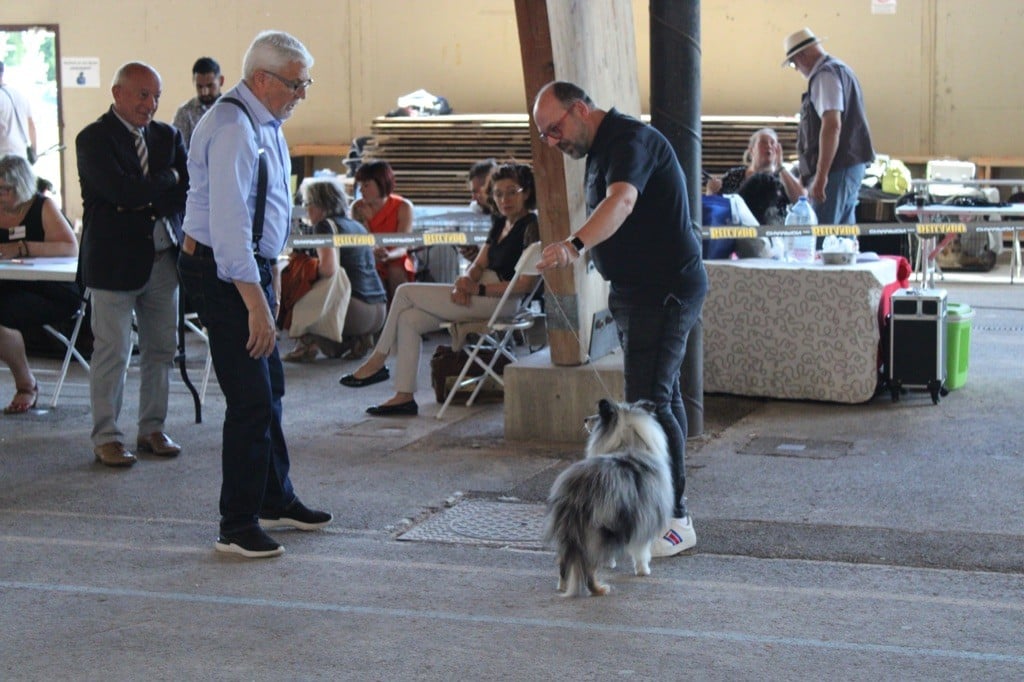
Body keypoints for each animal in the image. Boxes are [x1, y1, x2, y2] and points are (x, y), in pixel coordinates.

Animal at [540, 399, 675, 593]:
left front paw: (610, 563)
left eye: (598, 416)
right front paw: (643, 570)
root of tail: (578, 489)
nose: (585, 419)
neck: (629, 444)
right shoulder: (643, 518)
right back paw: (598, 588)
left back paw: (563, 586)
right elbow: (641, 549)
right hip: (596, 528)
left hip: (572, 528)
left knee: (565, 560)